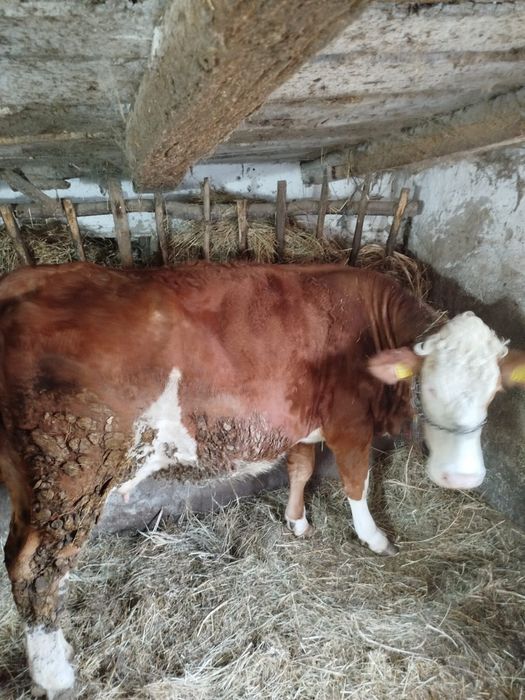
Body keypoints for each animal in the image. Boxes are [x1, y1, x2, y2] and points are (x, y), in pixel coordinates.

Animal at [0, 261, 523, 699]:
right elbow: (356, 481)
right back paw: (55, 674)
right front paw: (374, 538)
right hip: (70, 471)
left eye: (494, 392)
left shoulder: (302, 422)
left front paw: (297, 521)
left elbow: (302, 468)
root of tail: (22, 280)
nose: (462, 476)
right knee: (35, 569)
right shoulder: (349, 422)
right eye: (428, 385)